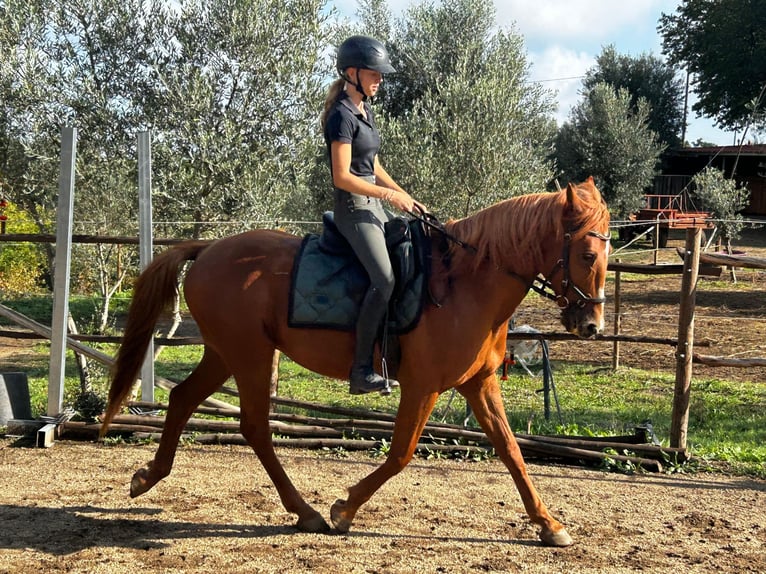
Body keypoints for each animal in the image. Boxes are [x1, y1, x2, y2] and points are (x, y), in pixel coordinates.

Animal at [101, 177, 610, 547]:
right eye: (587, 253)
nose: (592, 325)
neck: (464, 284)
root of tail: (208, 249)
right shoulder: (423, 386)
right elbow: (402, 453)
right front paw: (343, 510)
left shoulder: (479, 384)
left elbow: (512, 451)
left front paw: (550, 525)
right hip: (249, 355)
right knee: (254, 427)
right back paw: (305, 512)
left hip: (226, 353)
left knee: (185, 399)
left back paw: (147, 477)